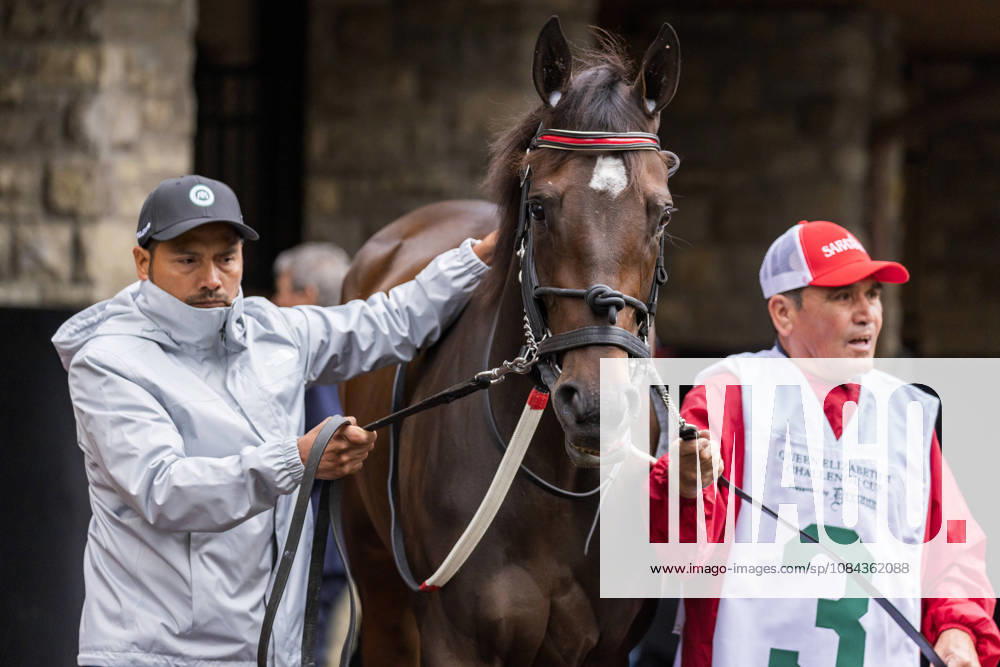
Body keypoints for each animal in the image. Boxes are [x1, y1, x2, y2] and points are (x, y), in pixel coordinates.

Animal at [339, 17, 682, 665]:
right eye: (541, 207)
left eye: (662, 214)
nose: (595, 401)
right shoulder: (455, 641)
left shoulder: (606, 648)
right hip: (379, 585)